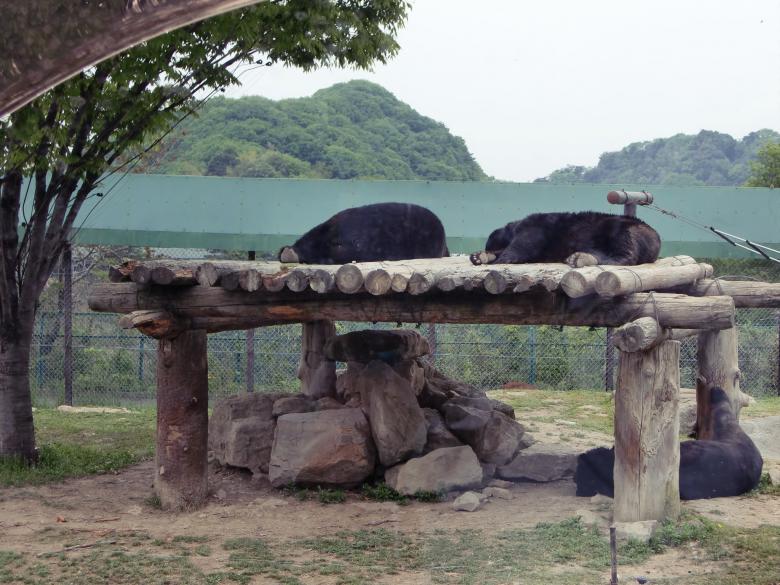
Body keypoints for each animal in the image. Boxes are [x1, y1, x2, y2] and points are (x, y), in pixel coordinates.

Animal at [469, 211, 661, 268]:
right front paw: (480, 256)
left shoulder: (533, 227)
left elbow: (522, 245)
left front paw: (499, 258)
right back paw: (579, 257)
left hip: (623, 228)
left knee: (625, 250)